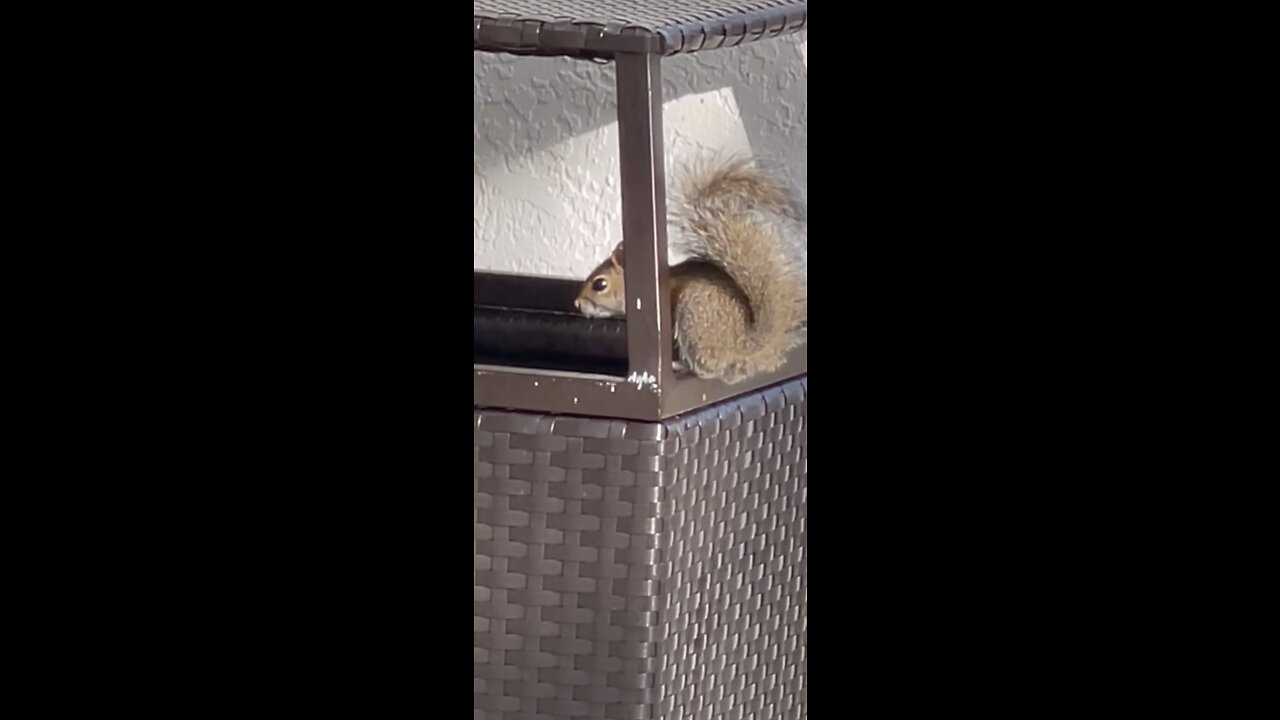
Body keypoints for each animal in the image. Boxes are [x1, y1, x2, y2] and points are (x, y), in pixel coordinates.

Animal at [573, 156, 807, 384]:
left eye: (600, 284)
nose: (577, 304)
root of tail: (743, 345)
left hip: (693, 316)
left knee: (707, 368)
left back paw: (681, 365)